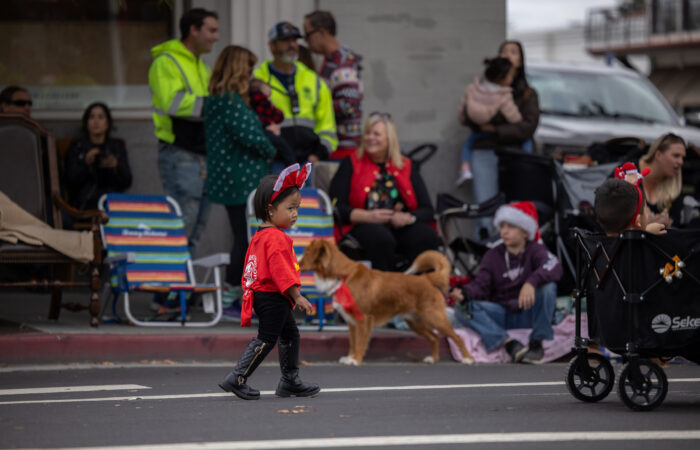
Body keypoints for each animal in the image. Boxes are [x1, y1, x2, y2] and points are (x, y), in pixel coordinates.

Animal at [298, 239, 474, 366]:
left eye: (306, 252)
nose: (297, 264)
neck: (343, 275)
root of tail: (426, 278)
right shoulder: (351, 322)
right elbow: (352, 343)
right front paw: (350, 357)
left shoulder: (363, 319)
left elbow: (360, 342)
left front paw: (356, 360)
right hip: (415, 322)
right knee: (435, 337)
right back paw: (433, 358)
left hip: (435, 318)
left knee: (456, 336)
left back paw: (468, 359)